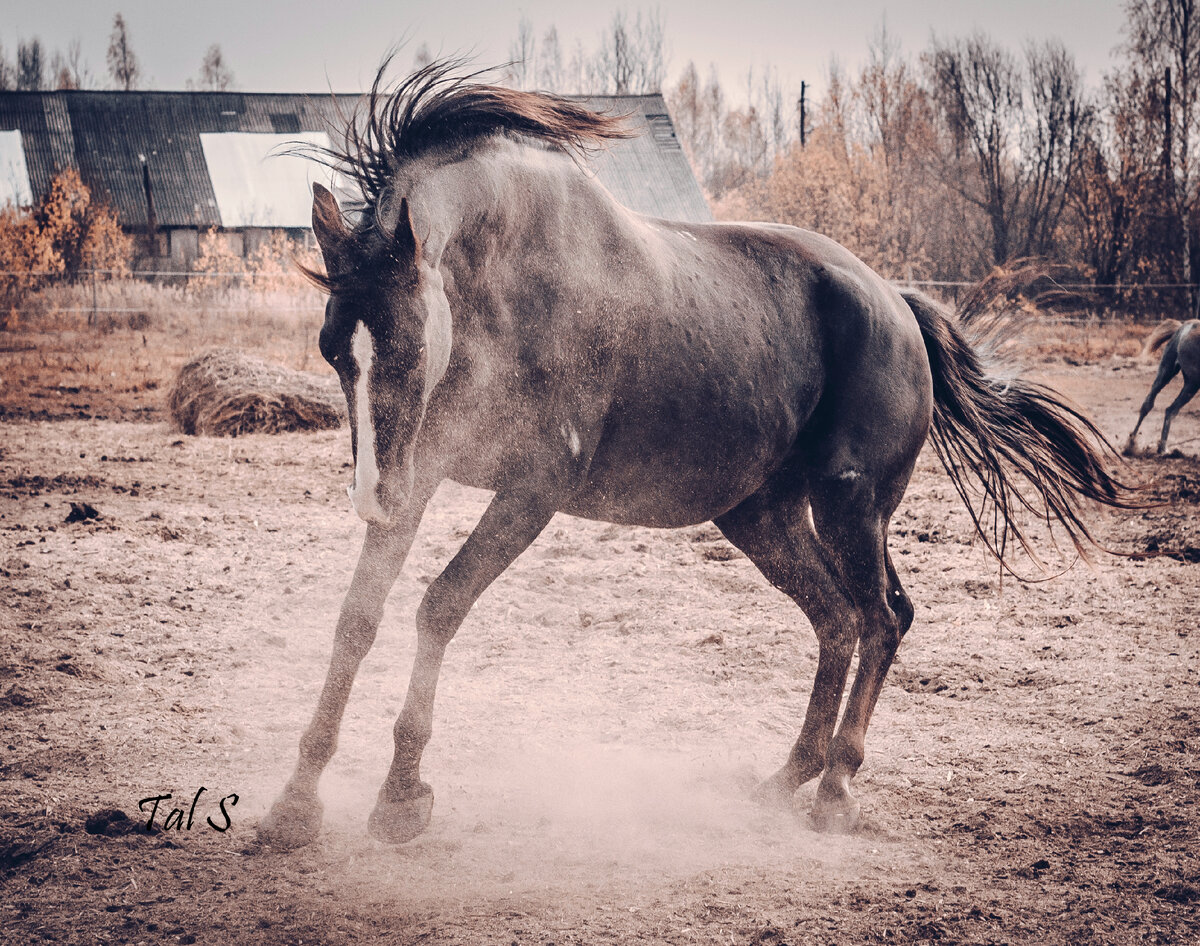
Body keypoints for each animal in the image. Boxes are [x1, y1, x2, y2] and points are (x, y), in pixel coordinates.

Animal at [258, 60, 1128, 849]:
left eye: (407, 349)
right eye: (333, 350)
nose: (372, 497)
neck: (502, 290)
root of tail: (897, 303)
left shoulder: (530, 491)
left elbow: (438, 607)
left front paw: (400, 797)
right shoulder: (425, 468)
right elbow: (357, 620)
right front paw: (295, 804)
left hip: (851, 504)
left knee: (883, 617)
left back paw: (835, 789)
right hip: (763, 519)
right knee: (838, 618)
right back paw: (786, 778)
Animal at [1123, 319, 1200, 456]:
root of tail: (1183, 328)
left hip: (1185, 381)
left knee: (1166, 409)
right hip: (1175, 376)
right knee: (1155, 406)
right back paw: (1135, 444)